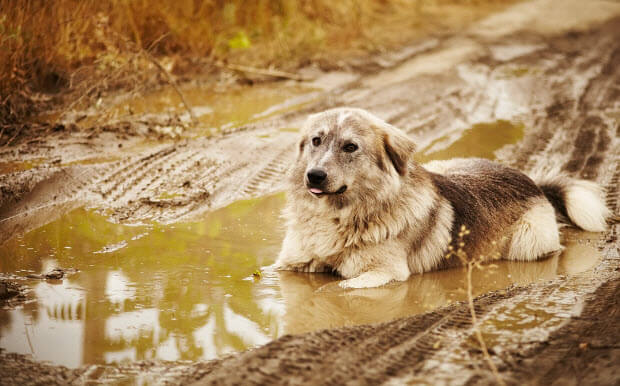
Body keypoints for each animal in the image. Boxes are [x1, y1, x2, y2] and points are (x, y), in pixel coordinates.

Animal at [274, 107, 612, 288]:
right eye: (316, 141)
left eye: (350, 147)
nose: (314, 176)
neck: (340, 216)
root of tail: (530, 180)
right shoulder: (288, 264)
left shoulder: (383, 272)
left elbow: (337, 288)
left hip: (527, 244)